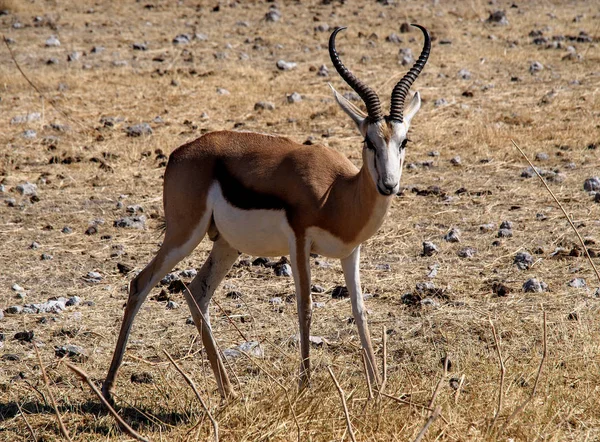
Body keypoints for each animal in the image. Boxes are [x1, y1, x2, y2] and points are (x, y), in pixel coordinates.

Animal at [104, 25, 432, 404]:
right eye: (368, 141)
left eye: (404, 141)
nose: (389, 184)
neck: (338, 193)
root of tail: (178, 154)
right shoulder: (299, 244)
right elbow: (305, 307)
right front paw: (305, 386)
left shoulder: (351, 252)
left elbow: (360, 311)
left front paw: (378, 389)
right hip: (183, 236)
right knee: (141, 283)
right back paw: (108, 389)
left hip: (226, 245)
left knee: (196, 293)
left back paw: (229, 391)